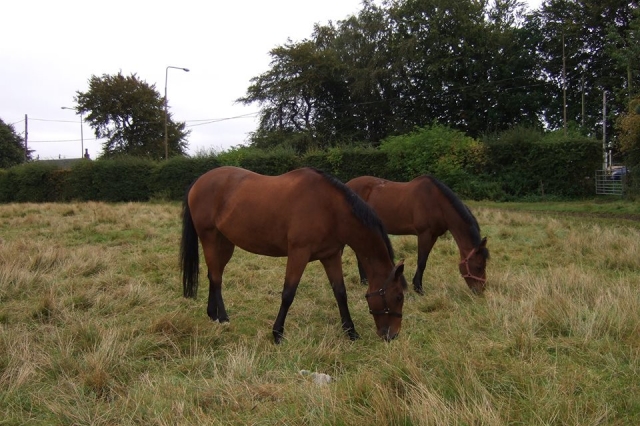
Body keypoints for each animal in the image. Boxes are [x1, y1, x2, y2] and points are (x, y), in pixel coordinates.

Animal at [181, 166, 407, 343]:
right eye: (398, 296)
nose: (392, 335)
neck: (329, 208)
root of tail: (198, 182)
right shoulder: (299, 253)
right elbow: (288, 293)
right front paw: (277, 333)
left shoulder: (331, 255)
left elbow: (340, 293)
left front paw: (351, 332)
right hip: (209, 238)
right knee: (216, 278)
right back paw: (224, 318)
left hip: (225, 243)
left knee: (214, 274)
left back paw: (212, 315)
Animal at [346, 175, 489, 295]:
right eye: (479, 266)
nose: (480, 291)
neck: (436, 202)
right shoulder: (424, 234)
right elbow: (421, 262)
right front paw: (418, 288)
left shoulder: (433, 236)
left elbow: (424, 260)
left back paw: (364, 281)